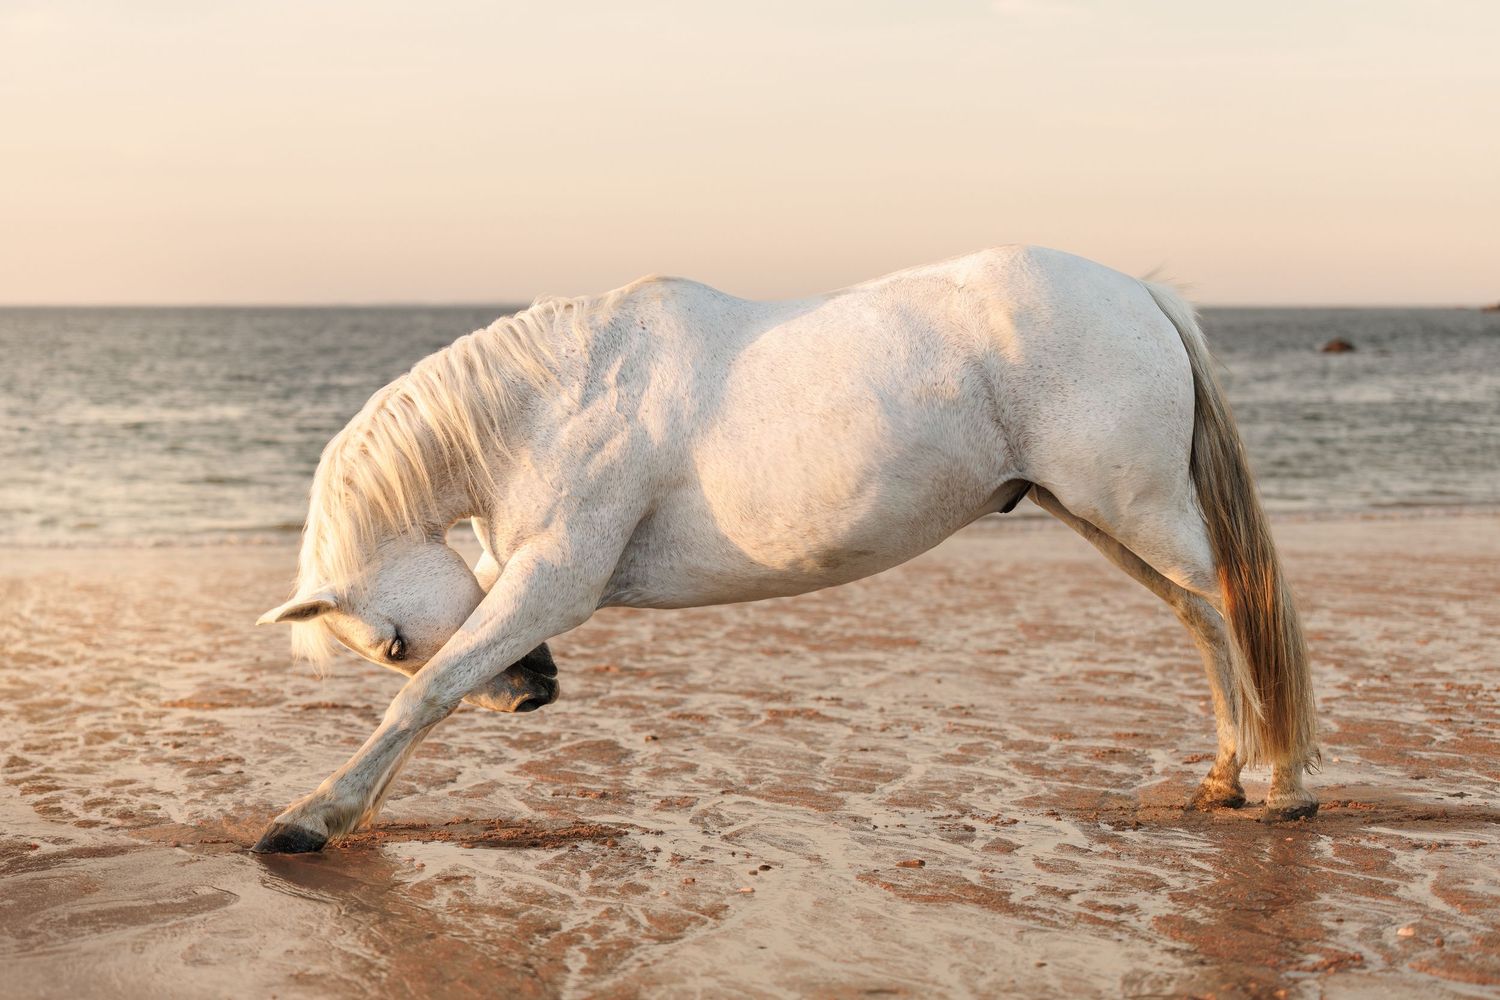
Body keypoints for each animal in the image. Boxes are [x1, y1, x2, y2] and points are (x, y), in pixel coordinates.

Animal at [253, 245, 1319, 854]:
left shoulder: (554, 585)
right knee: (1205, 621)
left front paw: (310, 819)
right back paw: (1225, 779)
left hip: (1135, 510)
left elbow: (428, 696)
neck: (559, 394)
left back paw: (1287, 789)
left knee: (1242, 610)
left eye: (390, 641)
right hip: (1104, 517)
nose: (534, 693)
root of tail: (1141, 293)